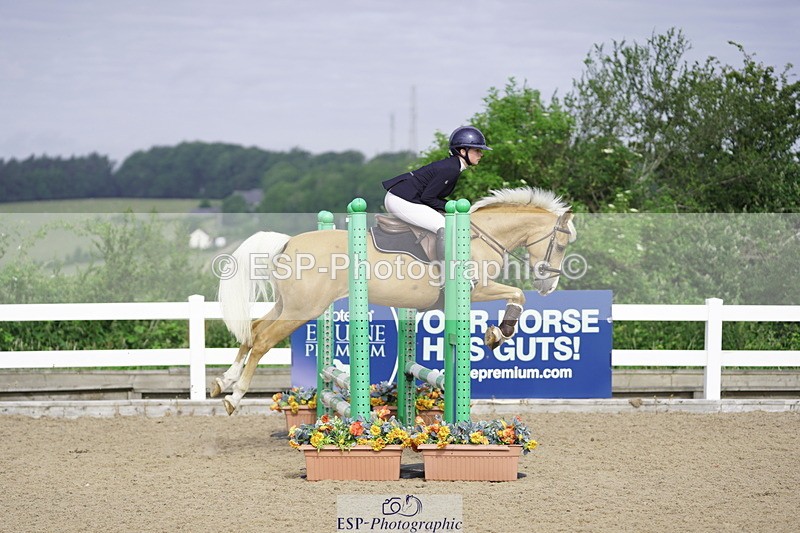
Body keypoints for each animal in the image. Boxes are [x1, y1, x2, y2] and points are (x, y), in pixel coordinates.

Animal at [213, 187, 577, 414]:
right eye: (561, 244)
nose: (549, 286)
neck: (483, 237)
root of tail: (288, 242)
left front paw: (497, 333)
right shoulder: (479, 289)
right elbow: (518, 294)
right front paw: (498, 333)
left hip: (289, 305)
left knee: (253, 330)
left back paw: (222, 382)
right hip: (304, 309)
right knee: (262, 340)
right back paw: (235, 397)